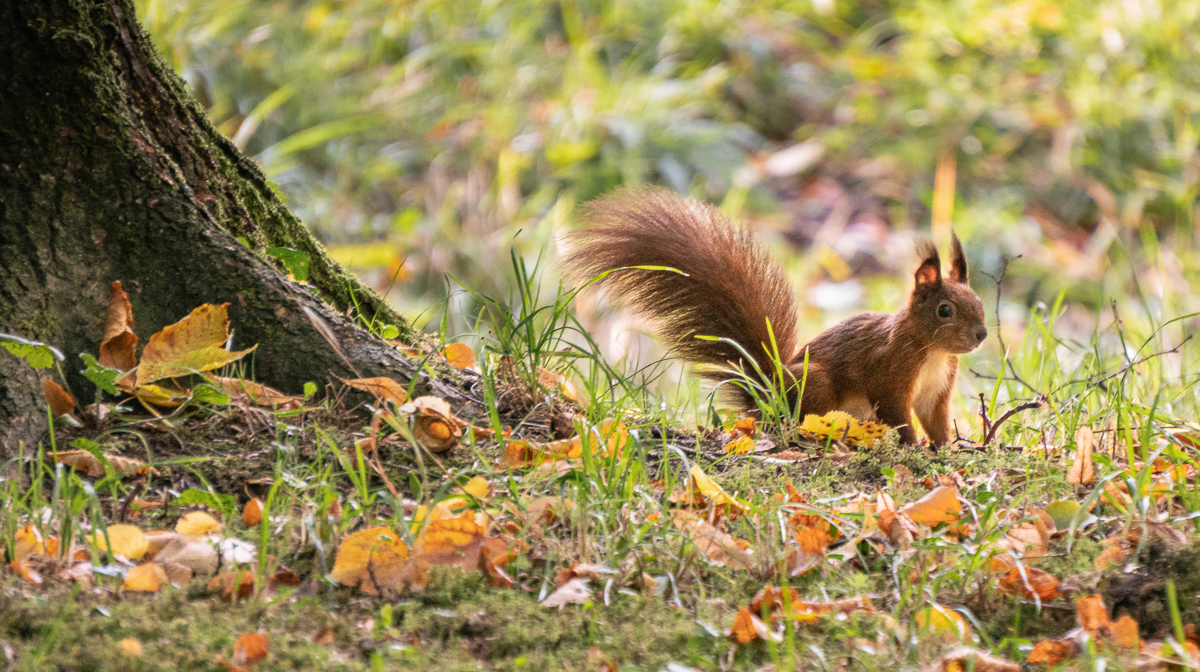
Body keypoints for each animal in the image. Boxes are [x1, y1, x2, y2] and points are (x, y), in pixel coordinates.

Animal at [559, 187, 984, 446]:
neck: (931, 350)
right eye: (945, 310)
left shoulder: (937, 390)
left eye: (978, 301)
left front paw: (946, 448)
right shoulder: (890, 372)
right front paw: (912, 446)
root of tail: (767, 395)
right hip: (816, 384)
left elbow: (935, 418)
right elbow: (897, 414)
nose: (980, 335)